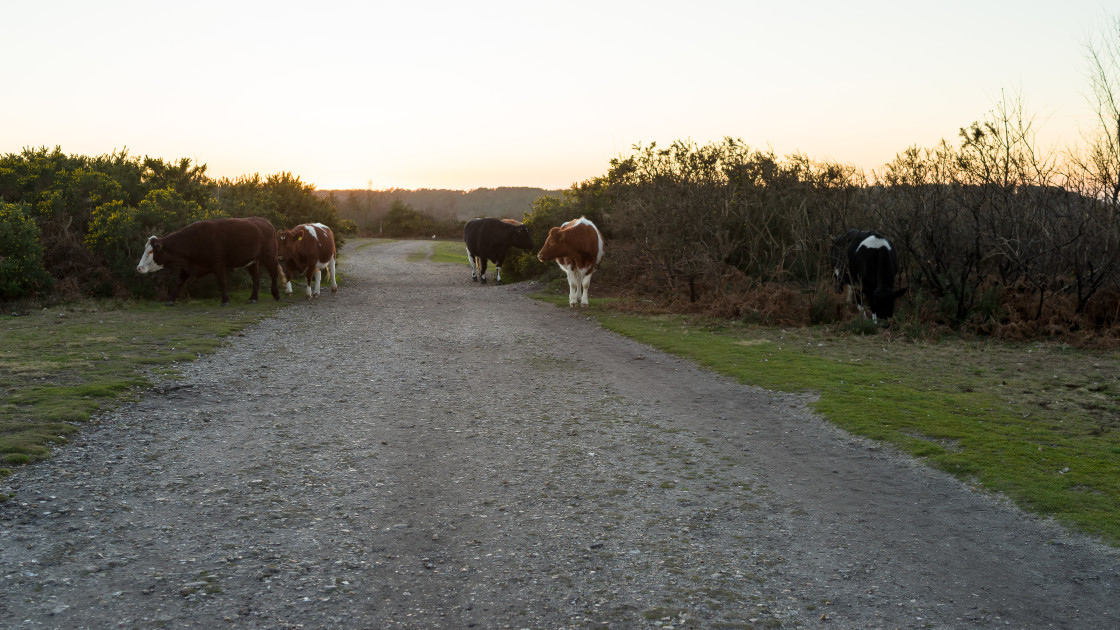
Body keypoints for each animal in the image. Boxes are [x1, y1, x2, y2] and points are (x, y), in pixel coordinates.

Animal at [134, 214, 280, 304]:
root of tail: (265, 221)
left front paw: (225, 300)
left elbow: (222, 282)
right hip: (252, 261)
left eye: (151, 251)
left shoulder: (218, 264)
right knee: (256, 278)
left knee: (273, 272)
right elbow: (179, 282)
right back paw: (253, 298)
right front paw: (170, 300)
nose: (139, 268)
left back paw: (276, 294)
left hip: (269, 256)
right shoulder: (187, 266)